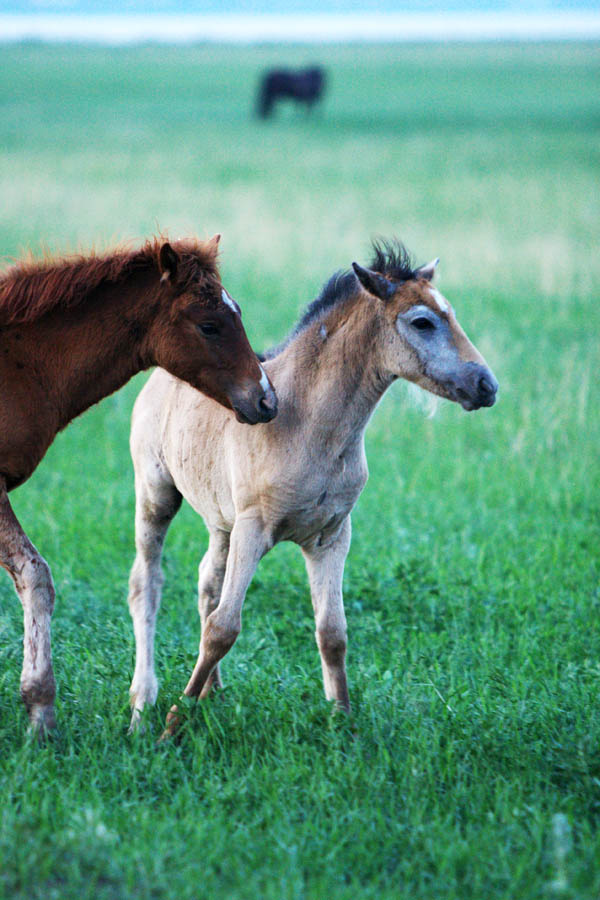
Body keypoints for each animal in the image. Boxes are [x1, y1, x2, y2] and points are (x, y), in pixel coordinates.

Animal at [126, 240, 498, 738]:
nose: (486, 385)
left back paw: (211, 692)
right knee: (146, 585)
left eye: (451, 313)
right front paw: (173, 723)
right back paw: (142, 705)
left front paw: (342, 721)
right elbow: (225, 628)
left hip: (221, 523)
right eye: (422, 321)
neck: (305, 422)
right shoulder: (254, 529)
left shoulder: (331, 536)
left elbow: (332, 631)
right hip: (156, 494)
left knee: (207, 584)